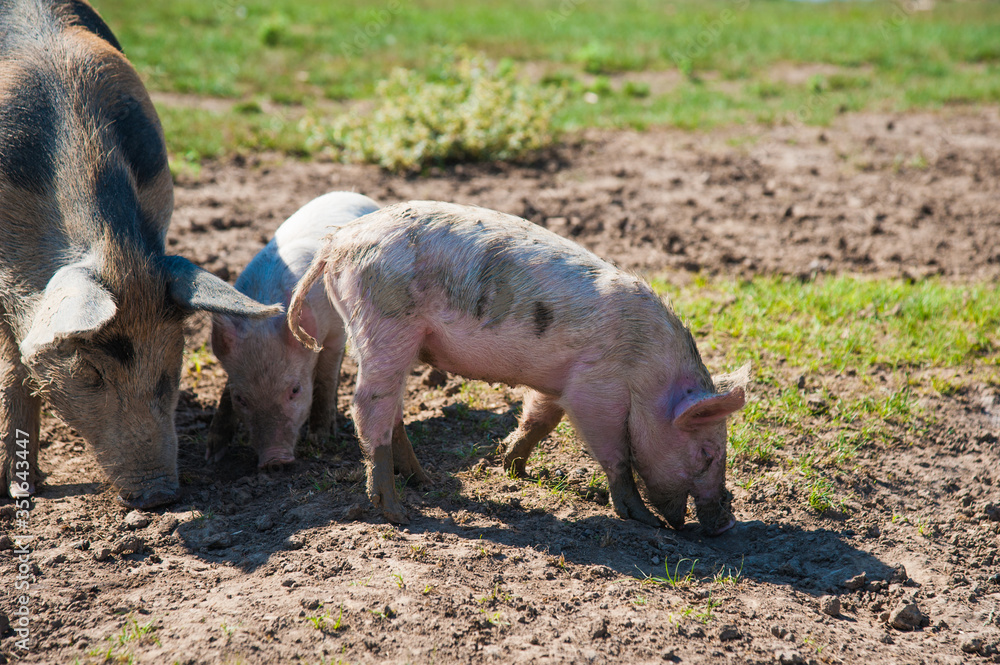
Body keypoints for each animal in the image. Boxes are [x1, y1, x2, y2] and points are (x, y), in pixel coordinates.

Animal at [207, 191, 383, 469]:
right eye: (241, 399)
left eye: (295, 390)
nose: (274, 460)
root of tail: (352, 193)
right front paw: (213, 455)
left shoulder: (334, 333)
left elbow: (326, 378)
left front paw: (321, 439)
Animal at [289, 201, 748, 534]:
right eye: (708, 453)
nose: (726, 523)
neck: (650, 378)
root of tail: (337, 243)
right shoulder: (594, 391)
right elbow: (616, 455)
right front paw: (645, 520)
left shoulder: (558, 382)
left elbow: (539, 420)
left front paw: (513, 467)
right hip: (384, 321)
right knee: (368, 408)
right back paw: (396, 513)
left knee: (392, 411)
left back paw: (427, 482)